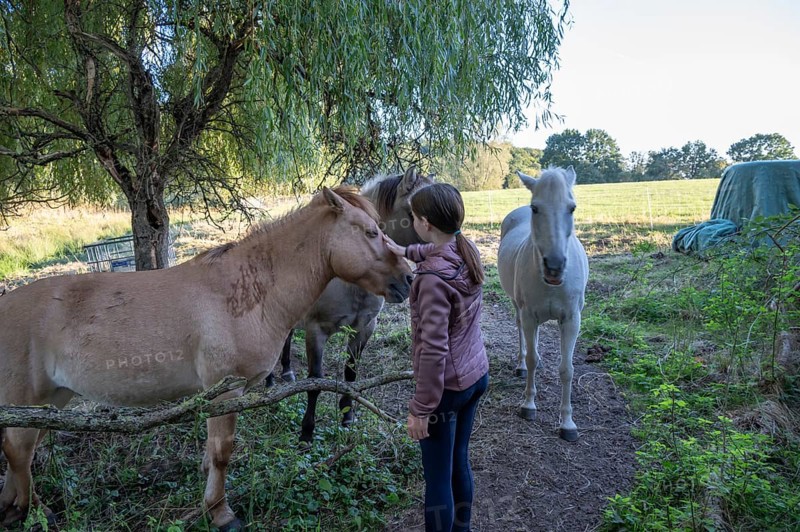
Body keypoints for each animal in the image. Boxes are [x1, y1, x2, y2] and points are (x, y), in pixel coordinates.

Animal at [0, 187, 413, 530]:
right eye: (370, 233)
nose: (408, 278)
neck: (245, 291)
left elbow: (210, 453)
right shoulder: (224, 391)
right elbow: (222, 453)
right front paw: (220, 512)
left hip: (52, 400)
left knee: (21, 452)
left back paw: (15, 506)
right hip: (30, 399)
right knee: (19, 450)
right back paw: (33, 512)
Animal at [267, 167, 434, 442]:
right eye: (414, 213)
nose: (407, 282)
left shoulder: (363, 328)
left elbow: (350, 374)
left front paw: (347, 416)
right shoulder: (316, 331)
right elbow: (315, 382)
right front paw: (306, 432)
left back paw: (287, 371)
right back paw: (270, 379)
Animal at [497, 167, 589, 442]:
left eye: (572, 207)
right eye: (535, 208)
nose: (554, 266)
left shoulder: (571, 320)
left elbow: (567, 369)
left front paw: (567, 424)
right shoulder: (529, 315)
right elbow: (532, 360)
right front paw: (528, 405)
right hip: (519, 308)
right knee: (521, 334)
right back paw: (519, 366)